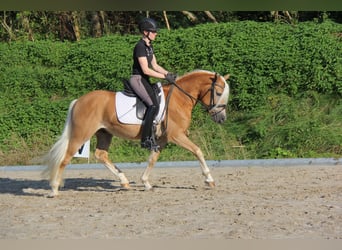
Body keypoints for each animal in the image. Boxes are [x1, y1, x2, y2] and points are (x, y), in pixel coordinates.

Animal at [42, 69, 230, 196]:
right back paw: (54, 189)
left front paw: (146, 183)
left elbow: (152, 159)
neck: (179, 98)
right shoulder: (176, 136)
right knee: (65, 158)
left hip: (104, 133)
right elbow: (198, 151)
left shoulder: (162, 139)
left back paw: (124, 182)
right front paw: (209, 180)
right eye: (218, 92)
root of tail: (79, 100)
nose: (221, 118)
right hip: (81, 135)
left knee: (101, 154)